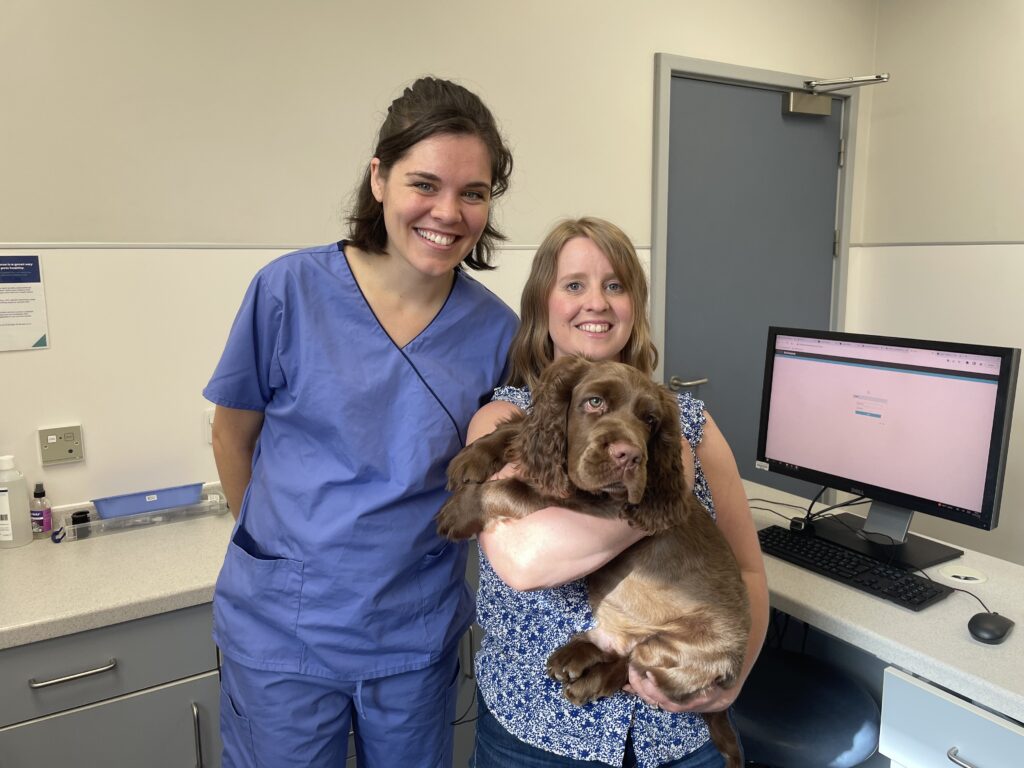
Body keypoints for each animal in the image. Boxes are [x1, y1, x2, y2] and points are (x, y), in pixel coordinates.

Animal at [436, 358, 749, 765]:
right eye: (595, 402)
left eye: (650, 420)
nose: (629, 456)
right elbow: (520, 426)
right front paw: (473, 456)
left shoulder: (595, 503)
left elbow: (510, 487)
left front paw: (459, 512)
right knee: (619, 649)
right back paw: (573, 657)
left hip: (674, 652)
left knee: (633, 669)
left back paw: (588, 681)